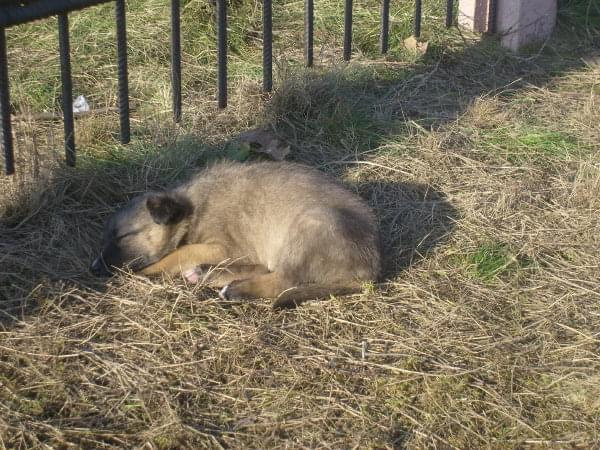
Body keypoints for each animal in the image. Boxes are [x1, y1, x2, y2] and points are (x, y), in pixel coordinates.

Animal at [90, 162, 380, 310]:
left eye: (123, 236)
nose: (94, 269)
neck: (193, 207)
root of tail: (372, 269)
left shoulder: (224, 247)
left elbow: (180, 252)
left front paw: (146, 271)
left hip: (310, 225)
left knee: (283, 280)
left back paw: (234, 289)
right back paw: (209, 275)